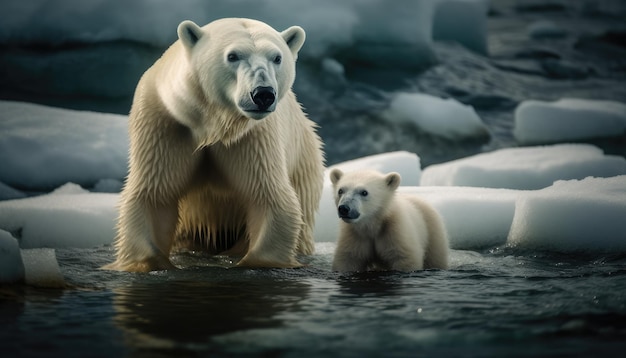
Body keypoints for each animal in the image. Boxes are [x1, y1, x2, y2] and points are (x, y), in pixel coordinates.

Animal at [103, 18, 324, 272]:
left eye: (277, 57)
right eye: (233, 56)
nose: (263, 94)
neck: (212, 123)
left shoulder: (254, 137)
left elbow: (268, 196)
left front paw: (254, 263)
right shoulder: (164, 124)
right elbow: (154, 195)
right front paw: (146, 264)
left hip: (304, 164)